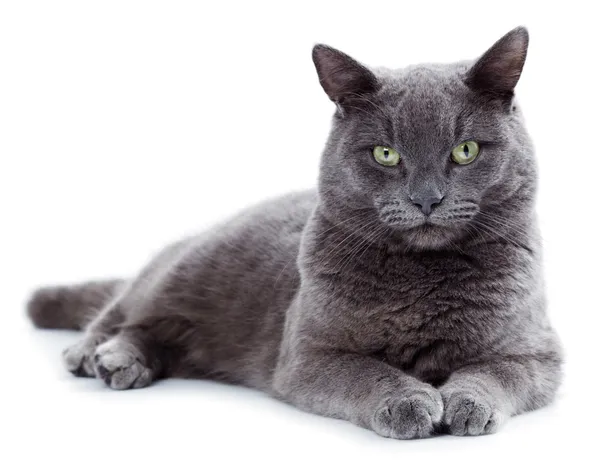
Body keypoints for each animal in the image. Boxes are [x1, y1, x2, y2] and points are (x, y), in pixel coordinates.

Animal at [28, 24, 564, 436]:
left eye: (465, 151)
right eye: (386, 154)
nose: (426, 198)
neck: (423, 280)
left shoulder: (538, 353)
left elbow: (495, 372)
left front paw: (467, 402)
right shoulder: (308, 353)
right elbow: (365, 371)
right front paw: (409, 401)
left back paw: (127, 361)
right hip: (190, 265)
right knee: (128, 305)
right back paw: (97, 354)